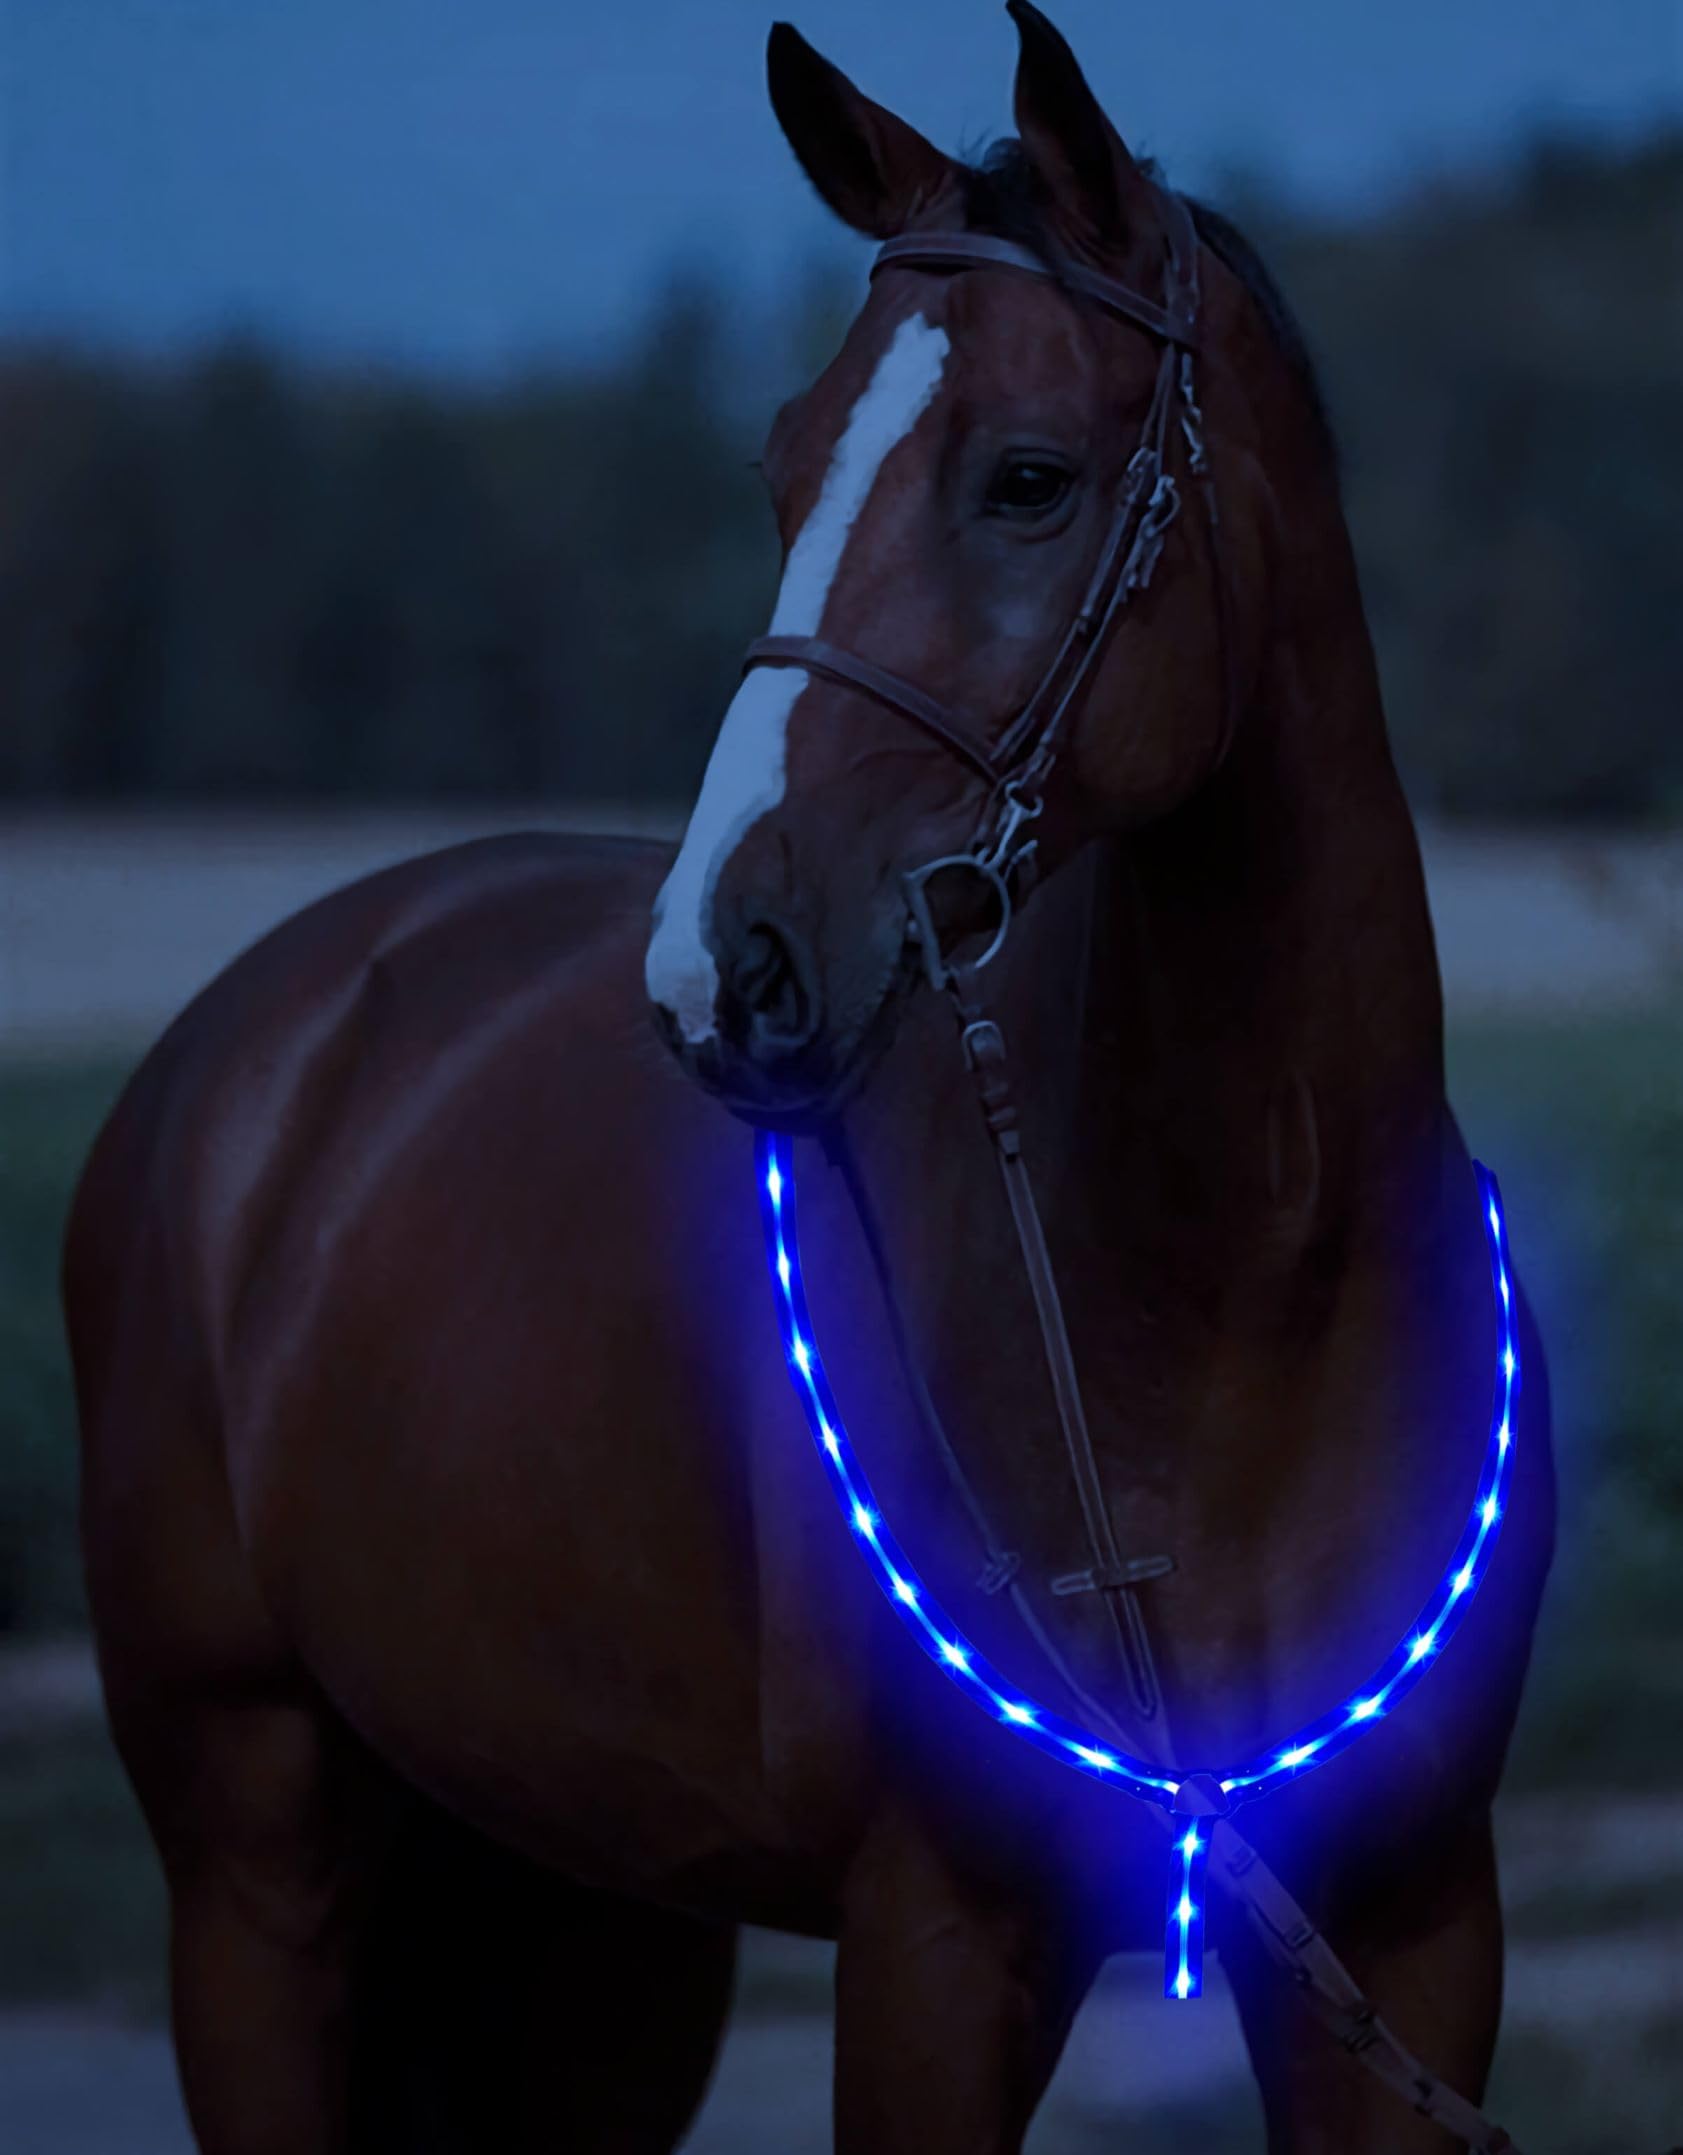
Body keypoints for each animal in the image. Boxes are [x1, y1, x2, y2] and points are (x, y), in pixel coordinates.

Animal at [64, 8, 1555, 2149]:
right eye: (780, 465)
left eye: (1028, 478)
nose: (722, 972)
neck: (1240, 1300)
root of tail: (246, 1049)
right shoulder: (935, 1945)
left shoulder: (1414, 1936)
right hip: (255, 1882)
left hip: (588, 1927)